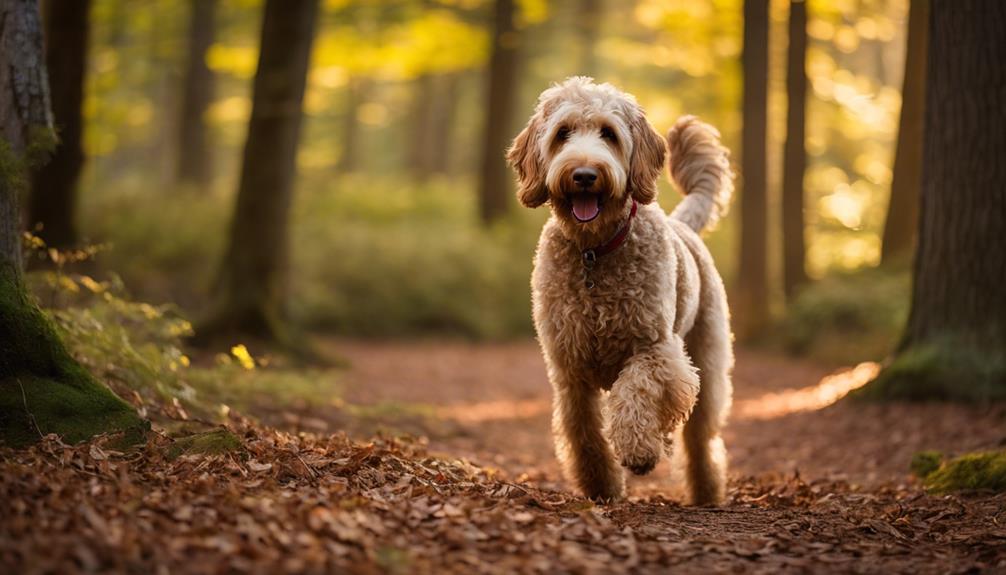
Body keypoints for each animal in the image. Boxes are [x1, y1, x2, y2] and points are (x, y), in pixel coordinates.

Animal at [511, 77, 732, 506]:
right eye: (562, 133)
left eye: (609, 134)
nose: (583, 174)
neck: (594, 252)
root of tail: (684, 225)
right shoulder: (568, 368)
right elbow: (582, 431)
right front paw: (601, 485)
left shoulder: (656, 350)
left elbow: (636, 390)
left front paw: (638, 451)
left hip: (708, 362)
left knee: (701, 438)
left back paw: (705, 490)